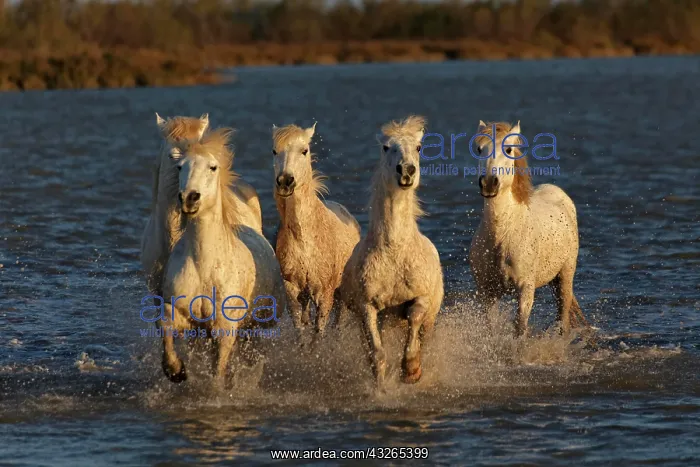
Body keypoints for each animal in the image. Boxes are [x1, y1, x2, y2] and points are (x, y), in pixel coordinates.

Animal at [159, 127, 286, 383]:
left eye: (212, 167)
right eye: (180, 167)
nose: (189, 197)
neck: (204, 265)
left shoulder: (224, 328)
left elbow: (218, 370)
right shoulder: (179, 312)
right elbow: (165, 327)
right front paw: (176, 371)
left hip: (257, 325)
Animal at [271, 122, 361, 336]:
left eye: (304, 151)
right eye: (274, 151)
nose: (285, 181)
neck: (305, 239)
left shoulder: (325, 294)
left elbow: (318, 333)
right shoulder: (293, 292)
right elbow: (301, 331)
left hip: (341, 296)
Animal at [338, 115, 444, 388]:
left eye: (418, 147)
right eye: (386, 147)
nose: (406, 170)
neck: (395, 250)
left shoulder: (420, 298)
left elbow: (414, 319)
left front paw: (411, 370)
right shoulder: (367, 308)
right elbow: (377, 353)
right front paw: (381, 387)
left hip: (431, 317)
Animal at [469, 120, 588, 337]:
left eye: (508, 149)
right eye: (479, 149)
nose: (489, 183)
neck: (503, 235)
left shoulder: (525, 289)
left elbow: (520, 329)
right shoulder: (487, 292)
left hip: (565, 276)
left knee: (563, 318)